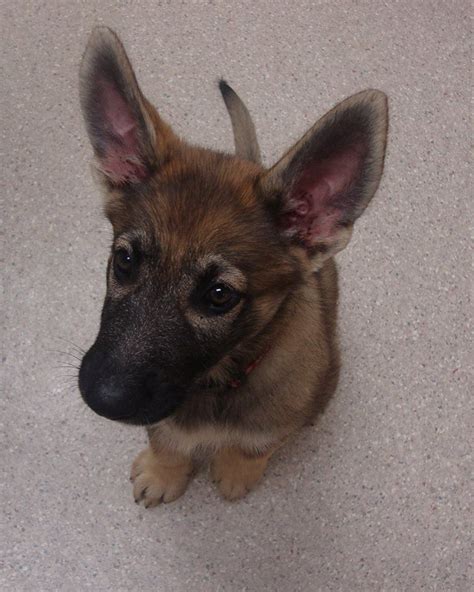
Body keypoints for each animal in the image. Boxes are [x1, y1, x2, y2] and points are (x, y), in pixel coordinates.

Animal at [78, 25, 388, 502]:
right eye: (124, 260)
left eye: (219, 295)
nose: (103, 399)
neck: (216, 381)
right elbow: (164, 437)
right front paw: (164, 471)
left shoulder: (291, 411)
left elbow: (254, 444)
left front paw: (235, 471)